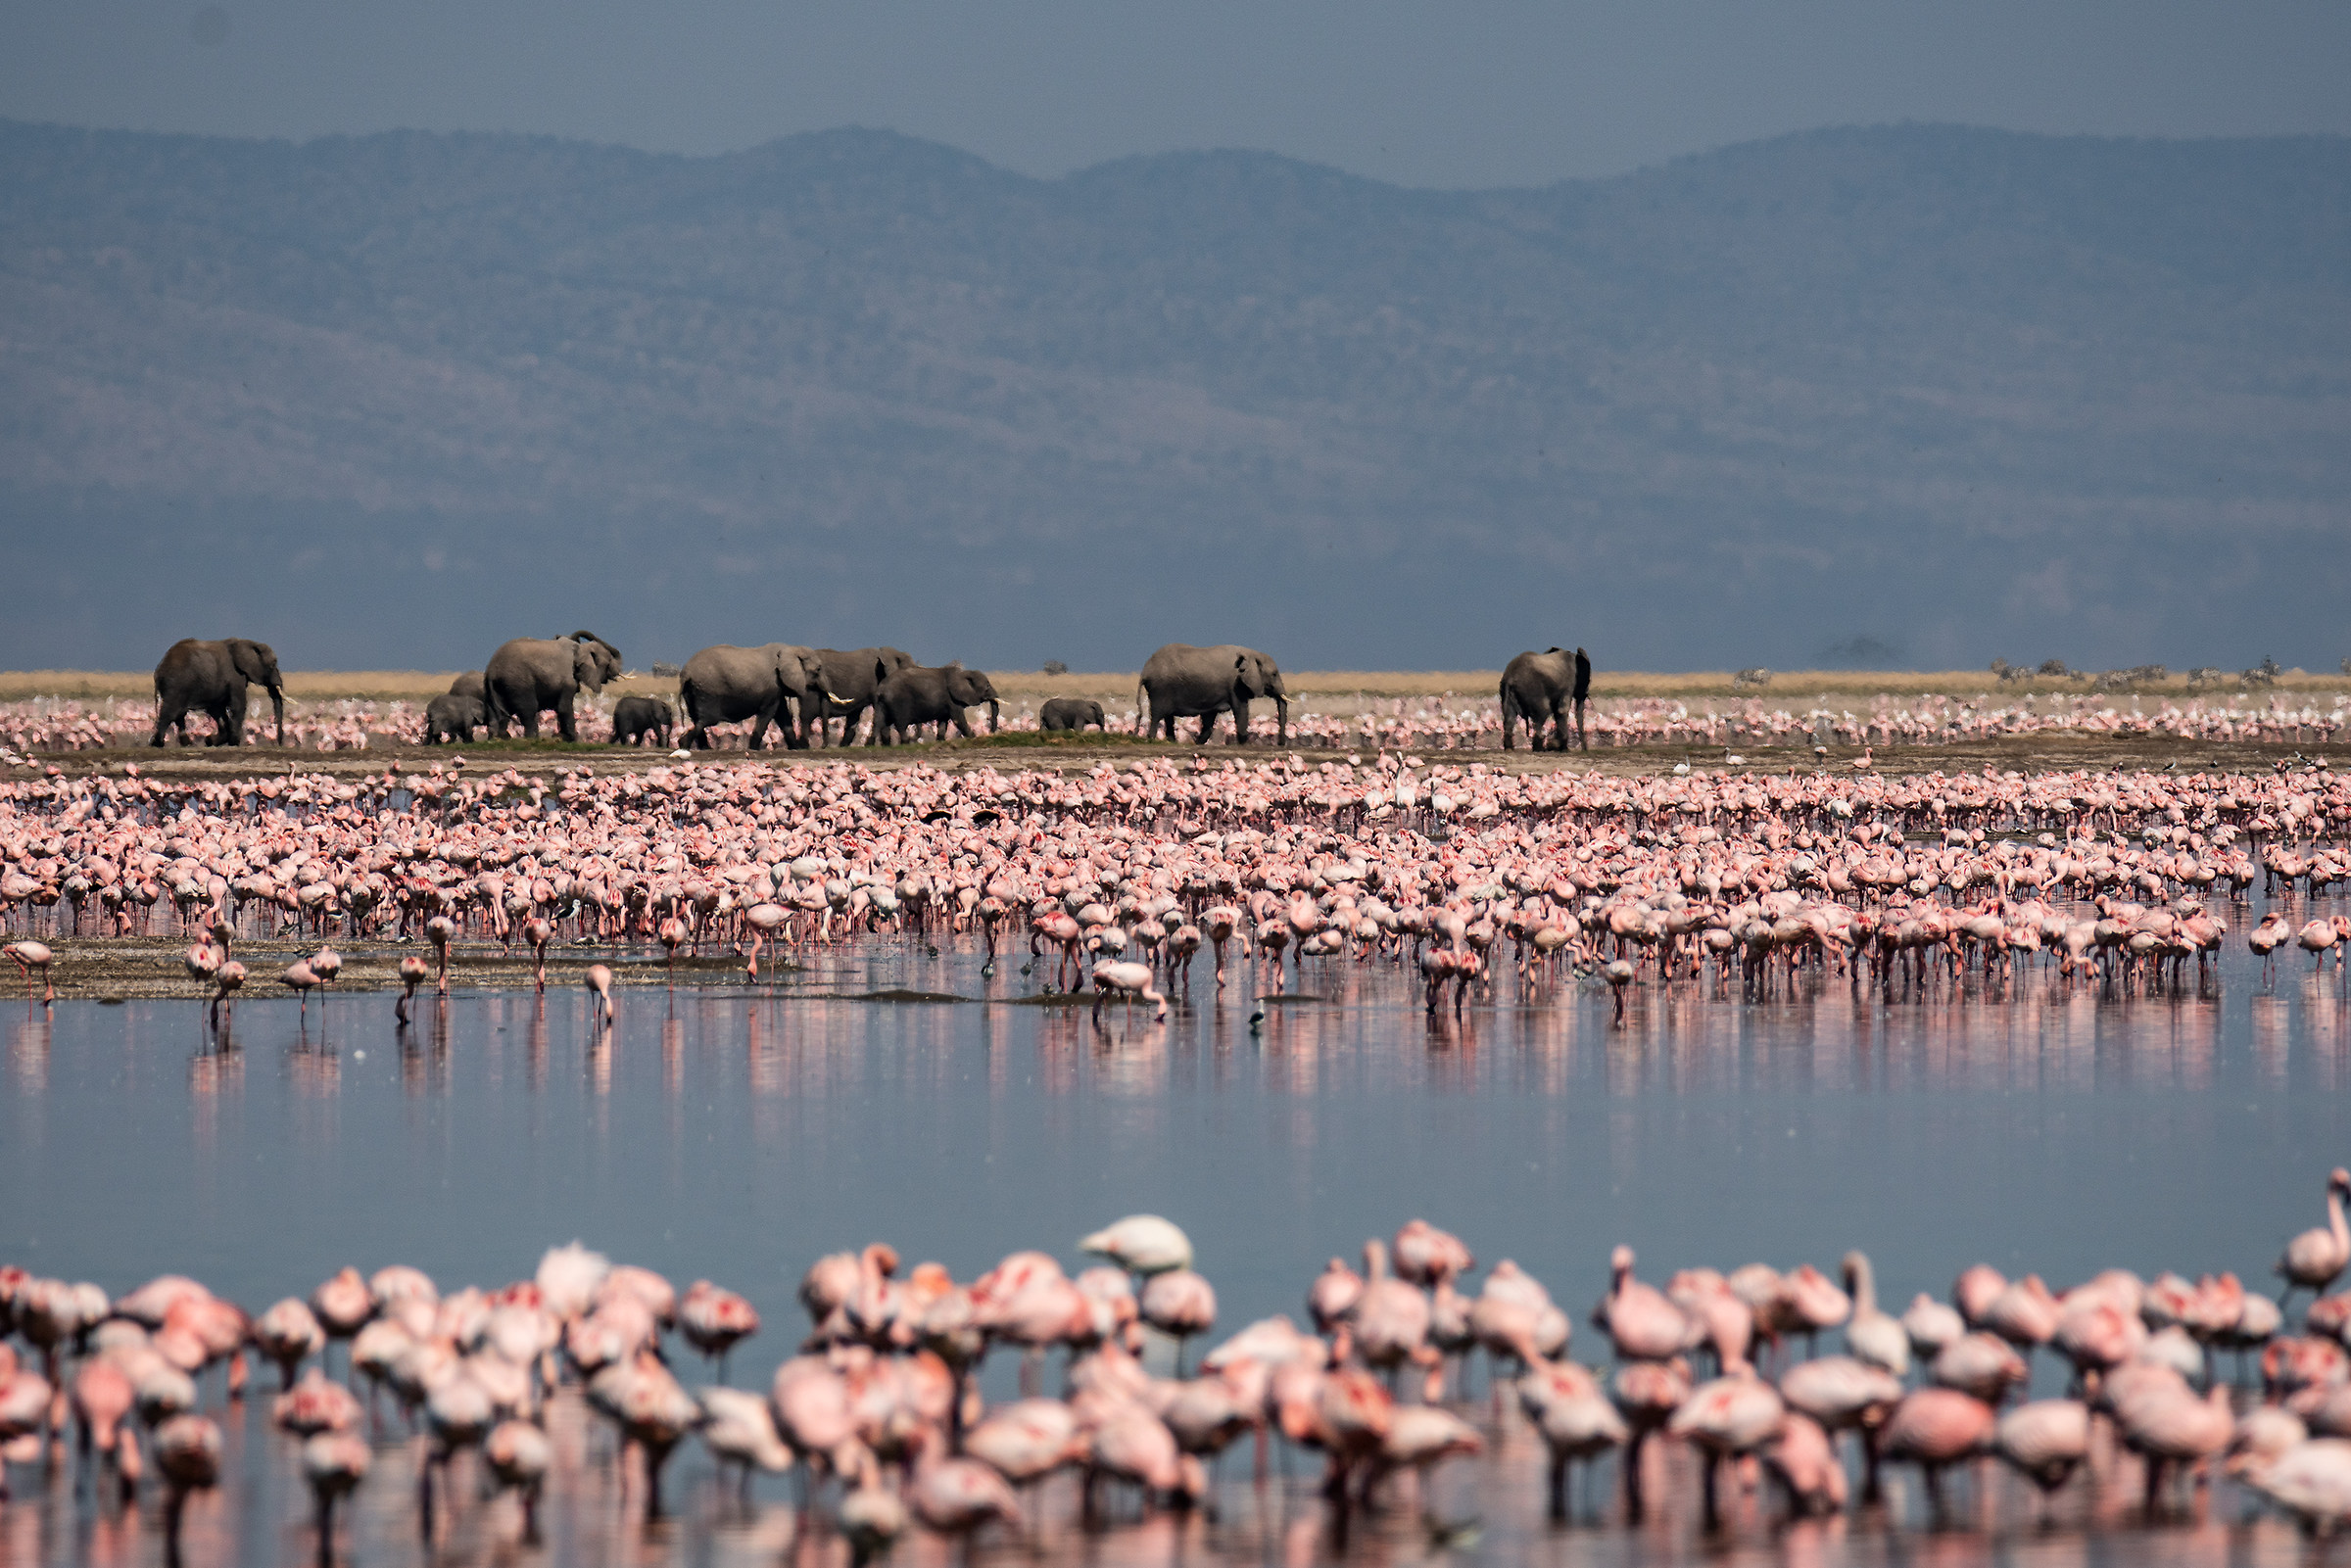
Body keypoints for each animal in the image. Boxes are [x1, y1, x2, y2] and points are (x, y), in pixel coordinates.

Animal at [150, 638, 285, 747]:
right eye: (273, 664)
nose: (279, 744)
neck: (248, 643)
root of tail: (159, 669)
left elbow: (217, 709)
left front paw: (211, 741)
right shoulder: (235, 675)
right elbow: (238, 705)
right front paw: (234, 742)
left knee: (179, 713)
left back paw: (185, 744)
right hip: (177, 684)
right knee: (171, 712)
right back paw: (157, 743)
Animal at [482, 632, 623, 740]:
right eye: (608, 663)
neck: (580, 648)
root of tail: (490, 670)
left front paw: (562, 737)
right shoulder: (568, 679)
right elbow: (563, 707)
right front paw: (573, 739)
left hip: (499, 686)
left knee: (501, 712)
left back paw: (501, 738)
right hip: (518, 682)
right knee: (528, 709)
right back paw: (532, 738)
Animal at [675, 643, 823, 750]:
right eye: (818, 670)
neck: (791, 649)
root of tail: (686, 673)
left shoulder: (777, 689)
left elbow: (782, 716)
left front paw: (796, 748)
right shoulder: (773, 687)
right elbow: (768, 713)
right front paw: (754, 749)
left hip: (692, 691)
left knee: (697, 718)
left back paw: (699, 747)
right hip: (707, 690)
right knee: (707, 719)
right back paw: (685, 744)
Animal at [872, 663, 1001, 745]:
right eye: (987, 686)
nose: (990, 732)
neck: (963, 673)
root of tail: (881, 688)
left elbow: (943, 721)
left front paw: (940, 741)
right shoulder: (952, 700)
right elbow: (958, 719)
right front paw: (974, 737)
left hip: (881, 703)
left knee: (879, 722)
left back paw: (877, 744)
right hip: (899, 701)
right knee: (901, 724)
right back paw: (905, 743)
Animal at [1137, 644, 1288, 746]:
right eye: (1274, 674)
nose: (1280, 744)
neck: (1251, 654)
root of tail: (1145, 670)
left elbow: (1209, 718)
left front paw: (1197, 743)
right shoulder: (1235, 685)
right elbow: (1241, 710)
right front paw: (1244, 743)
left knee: (1168, 717)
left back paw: (1172, 742)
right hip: (1160, 689)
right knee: (1157, 715)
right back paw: (1151, 739)